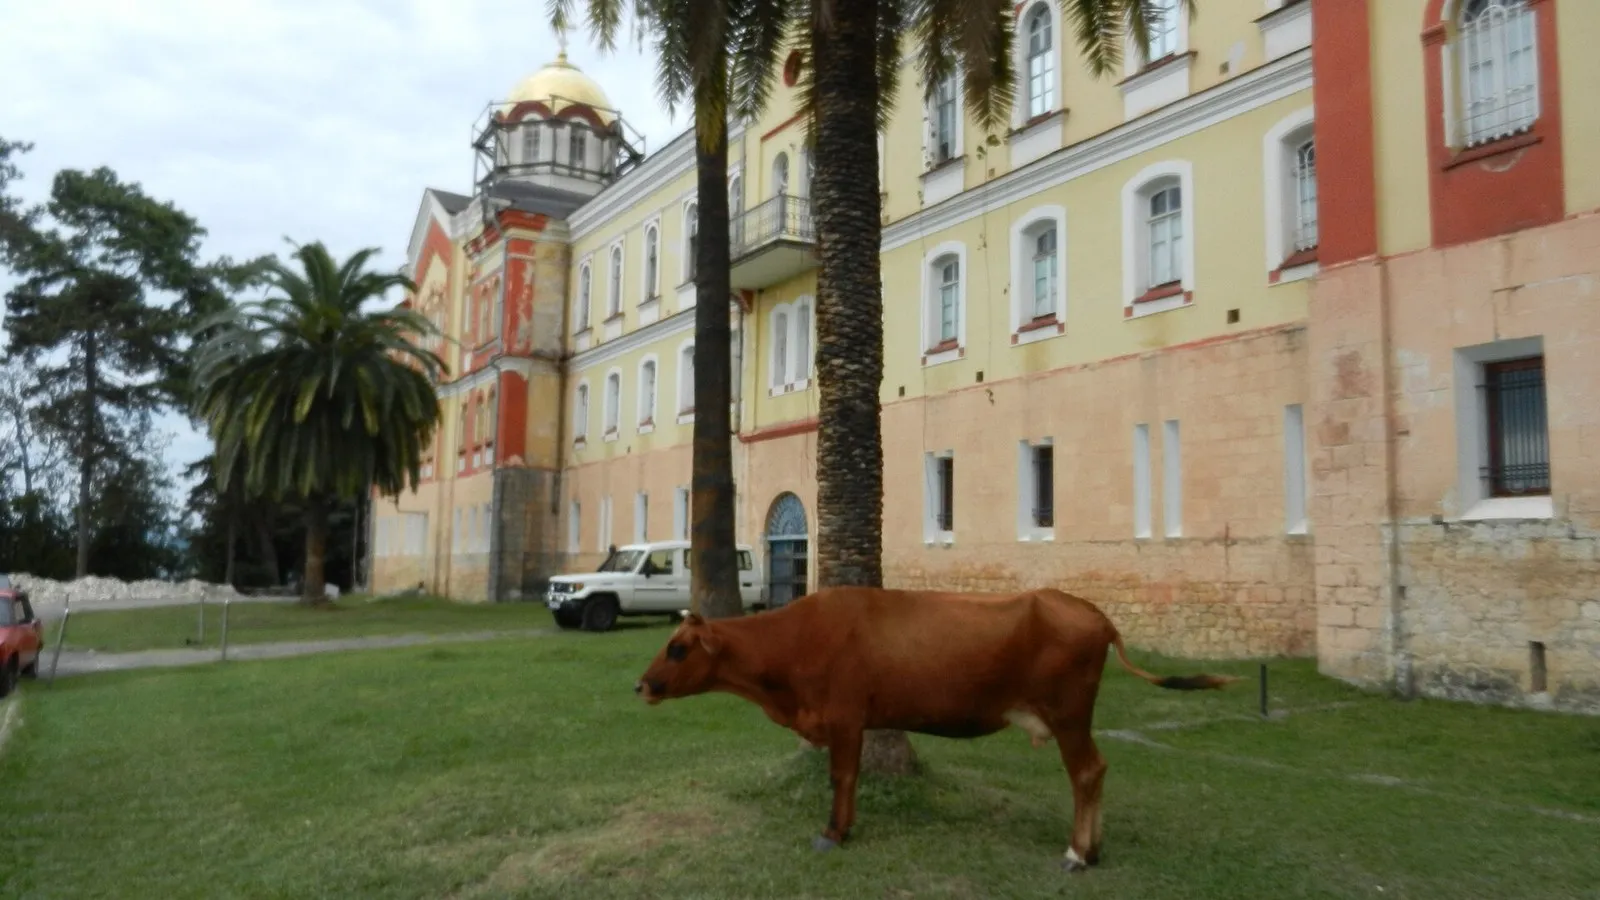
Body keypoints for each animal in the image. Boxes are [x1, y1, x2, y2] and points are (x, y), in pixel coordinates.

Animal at [633, 585, 1238, 871]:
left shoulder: (847, 717)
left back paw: (1077, 853)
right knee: (1097, 771)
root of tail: (1087, 609)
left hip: (1069, 714)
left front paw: (835, 832)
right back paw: (1095, 849)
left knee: (1086, 772)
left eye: (678, 647)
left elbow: (842, 777)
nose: (640, 685)